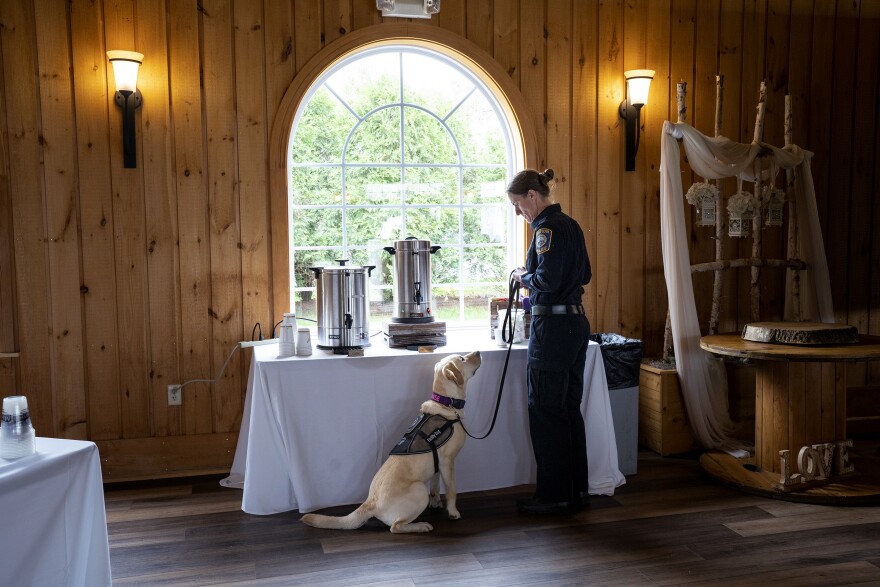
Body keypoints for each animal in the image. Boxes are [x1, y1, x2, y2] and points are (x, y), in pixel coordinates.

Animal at [302, 352, 482, 536]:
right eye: (462, 359)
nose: (478, 352)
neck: (446, 404)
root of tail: (370, 502)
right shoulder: (447, 462)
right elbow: (452, 490)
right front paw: (453, 512)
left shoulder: (437, 464)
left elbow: (435, 485)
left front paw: (436, 503)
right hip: (419, 490)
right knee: (395, 527)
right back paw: (421, 526)